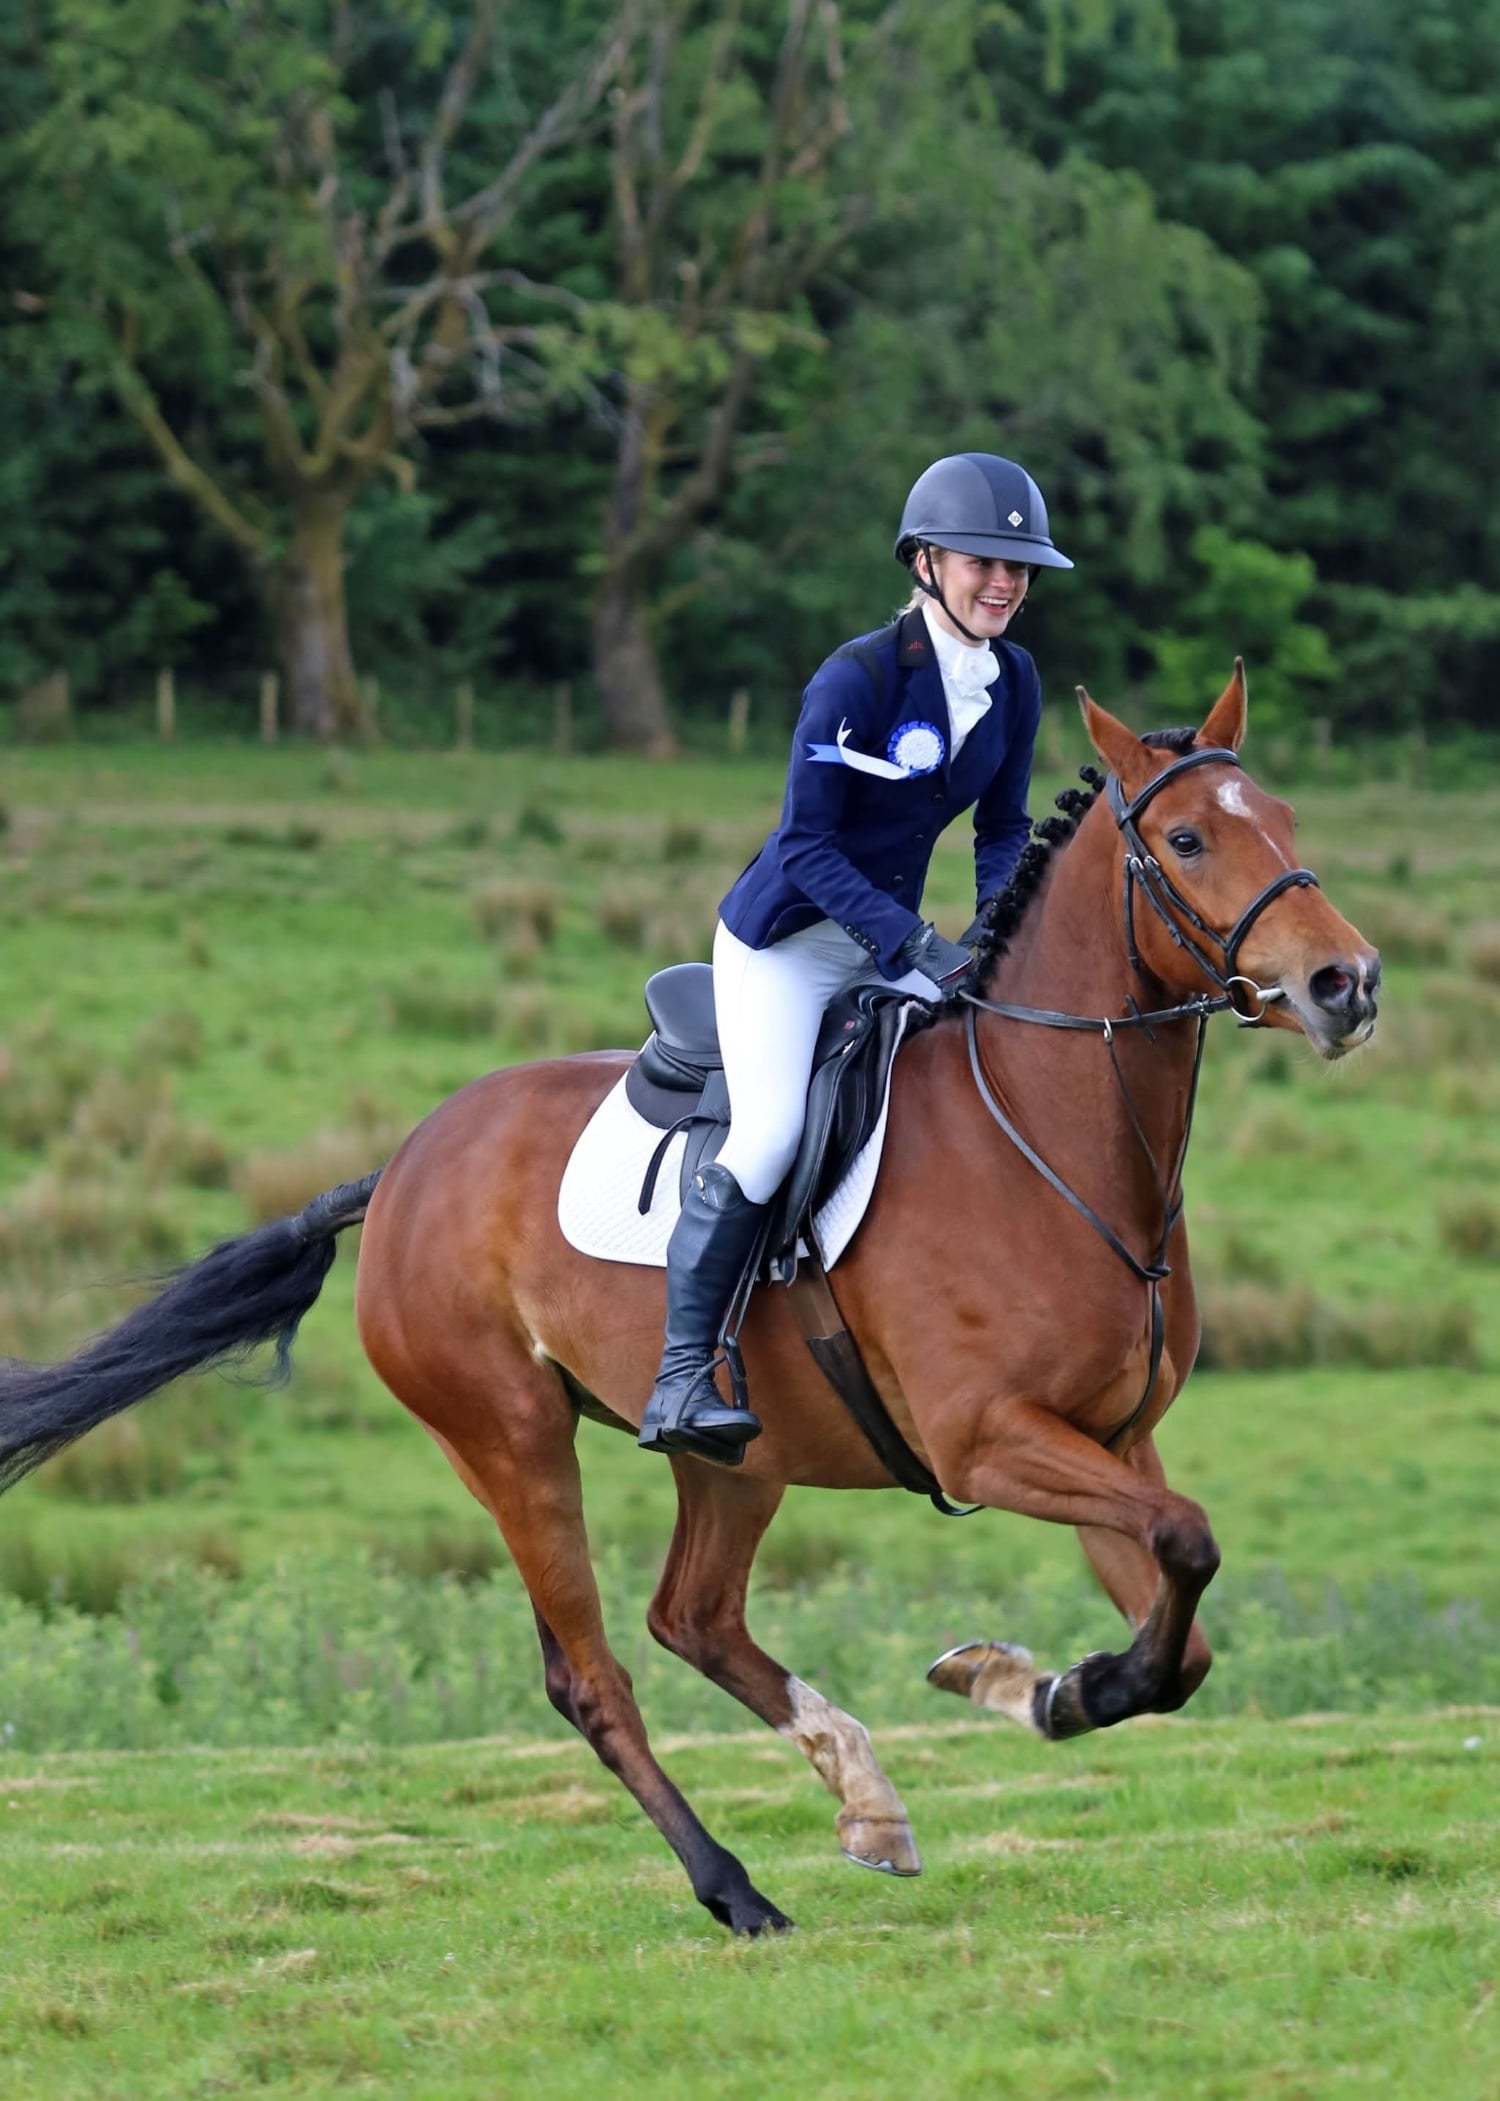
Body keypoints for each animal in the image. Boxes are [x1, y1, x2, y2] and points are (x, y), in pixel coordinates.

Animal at [0, 669, 1379, 1937]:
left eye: (1285, 817)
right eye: (1188, 839)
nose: (1345, 983)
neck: (1046, 1137)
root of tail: (399, 1167)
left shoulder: (1111, 1440)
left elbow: (1179, 1620)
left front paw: (1041, 1687)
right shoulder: (989, 1443)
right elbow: (1187, 1547)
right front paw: (1039, 1686)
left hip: (736, 1448)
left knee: (695, 1616)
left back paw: (864, 1793)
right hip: (511, 1439)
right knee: (596, 1673)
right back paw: (736, 1888)